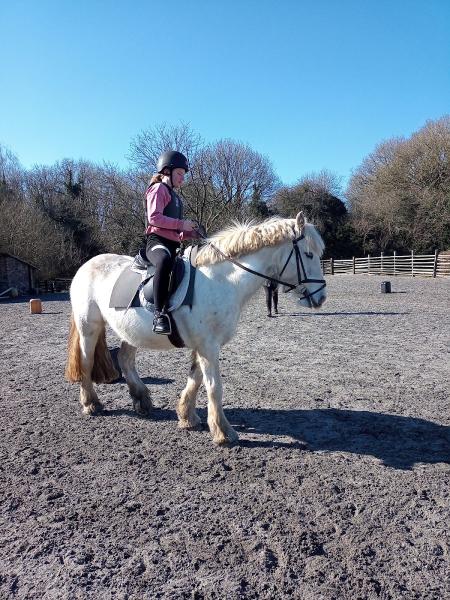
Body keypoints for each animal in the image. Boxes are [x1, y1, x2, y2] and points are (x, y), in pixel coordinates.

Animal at [65, 212, 326, 446]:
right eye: (308, 254)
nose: (321, 297)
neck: (221, 280)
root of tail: (86, 266)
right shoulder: (208, 346)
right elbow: (214, 387)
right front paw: (223, 432)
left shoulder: (205, 345)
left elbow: (196, 379)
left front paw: (187, 417)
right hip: (89, 327)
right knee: (87, 361)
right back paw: (91, 403)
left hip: (129, 331)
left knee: (125, 360)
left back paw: (142, 400)